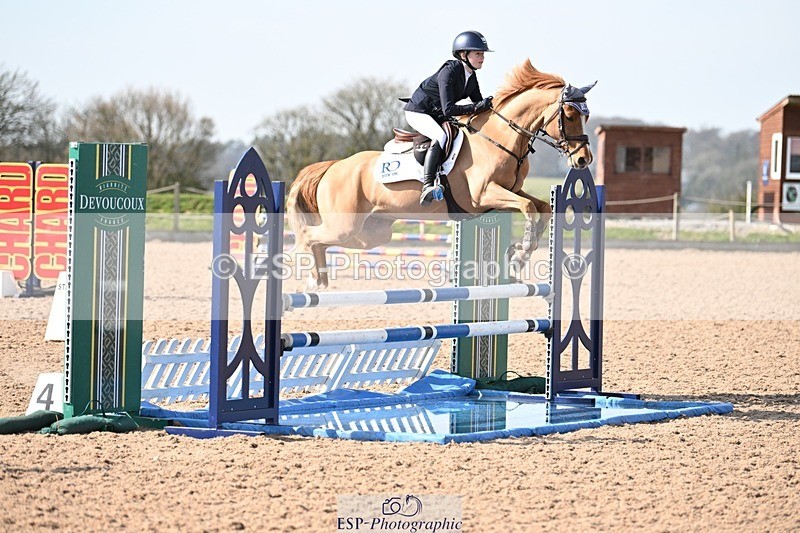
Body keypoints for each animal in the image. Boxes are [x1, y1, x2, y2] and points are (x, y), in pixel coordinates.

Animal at [287, 59, 595, 289]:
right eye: (569, 115)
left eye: (587, 116)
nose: (583, 159)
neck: (498, 138)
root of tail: (332, 167)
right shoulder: (482, 196)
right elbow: (529, 207)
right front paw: (520, 254)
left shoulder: (510, 191)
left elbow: (541, 207)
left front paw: (518, 253)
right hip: (345, 224)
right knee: (308, 236)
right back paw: (311, 279)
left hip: (371, 231)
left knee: (326, 241)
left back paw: (320, 279)